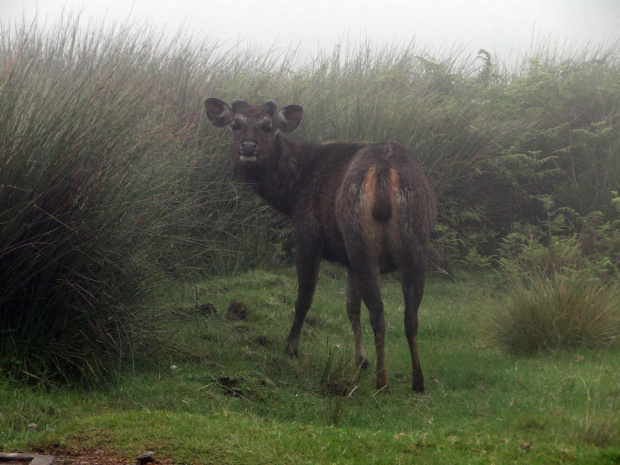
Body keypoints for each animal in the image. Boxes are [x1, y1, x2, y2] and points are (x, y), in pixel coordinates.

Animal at [203, 98, 436, 392]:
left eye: (268, 126)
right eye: (235, 124)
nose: (247, 147)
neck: (291, 193)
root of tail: (385, 174)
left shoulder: (308, 234)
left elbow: (304, 298)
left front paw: (291, 347)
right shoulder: (348, 259)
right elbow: (351, 308)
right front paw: (361, 359)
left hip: (361, 241)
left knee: (379, 312)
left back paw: (382, 381)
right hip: (414, 241)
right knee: (410, 314)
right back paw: (417, 380)